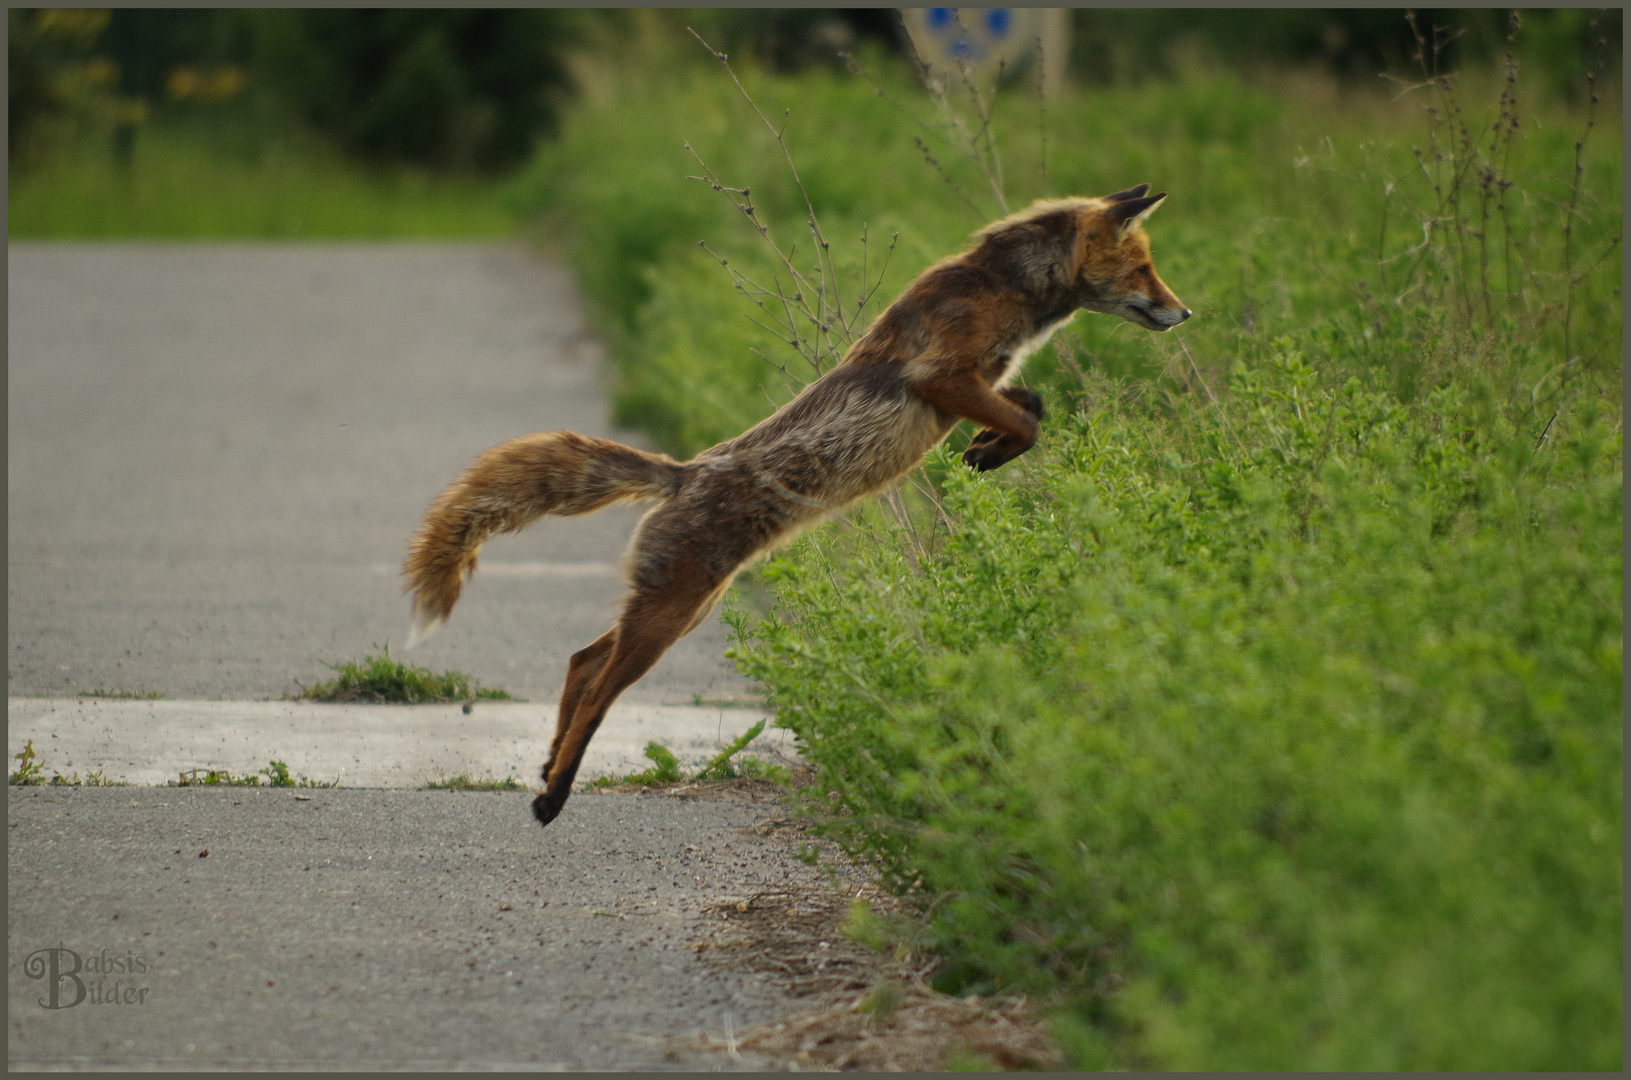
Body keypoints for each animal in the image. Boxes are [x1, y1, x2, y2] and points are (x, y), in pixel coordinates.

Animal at [401, 188, 1193, 828]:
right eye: (1142, 270)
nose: (1184, 313)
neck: (1004, 288)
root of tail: (682, 474)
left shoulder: (980, 380)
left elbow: (1031, 405)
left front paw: (984, 451)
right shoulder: (939, 377)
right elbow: (1028, 420)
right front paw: (988, 452)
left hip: (682, 610)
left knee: (580, 660)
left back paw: (547, 765)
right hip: (668, 618)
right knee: (597, 690)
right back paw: (553, 794)